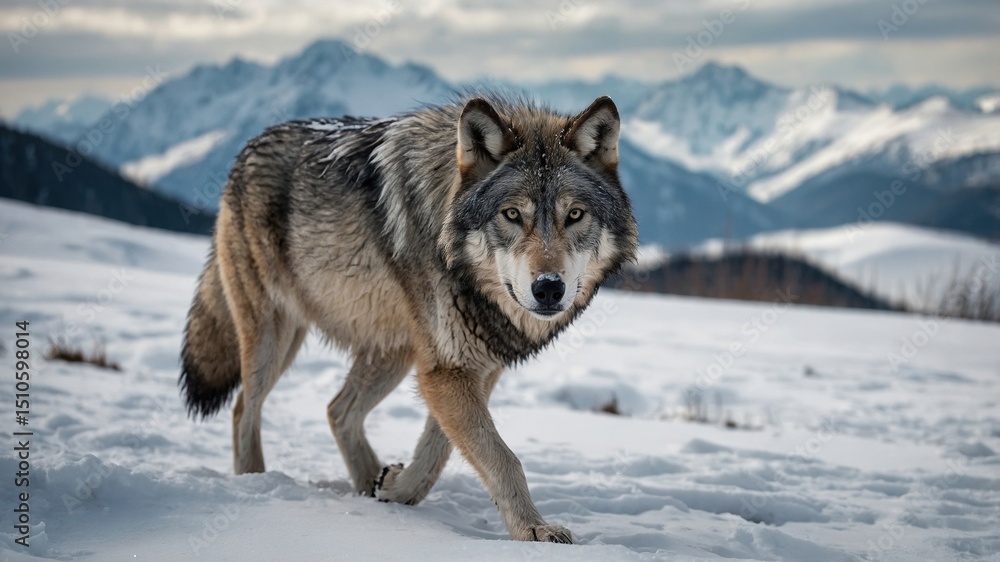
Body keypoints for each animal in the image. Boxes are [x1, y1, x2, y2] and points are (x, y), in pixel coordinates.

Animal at [179, 93, 638, 543]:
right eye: (511, 214)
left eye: (574, 215)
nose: (548, 288)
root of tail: (248, 148)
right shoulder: (447, 369)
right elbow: (502, 458)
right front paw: (534, 528)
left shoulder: (470, 367)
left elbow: (440, 450)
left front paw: (396, 489)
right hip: (273, 336)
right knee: (245, 407)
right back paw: (255, 483)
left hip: (390, 352)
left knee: (337, 410)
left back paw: (368, 486)